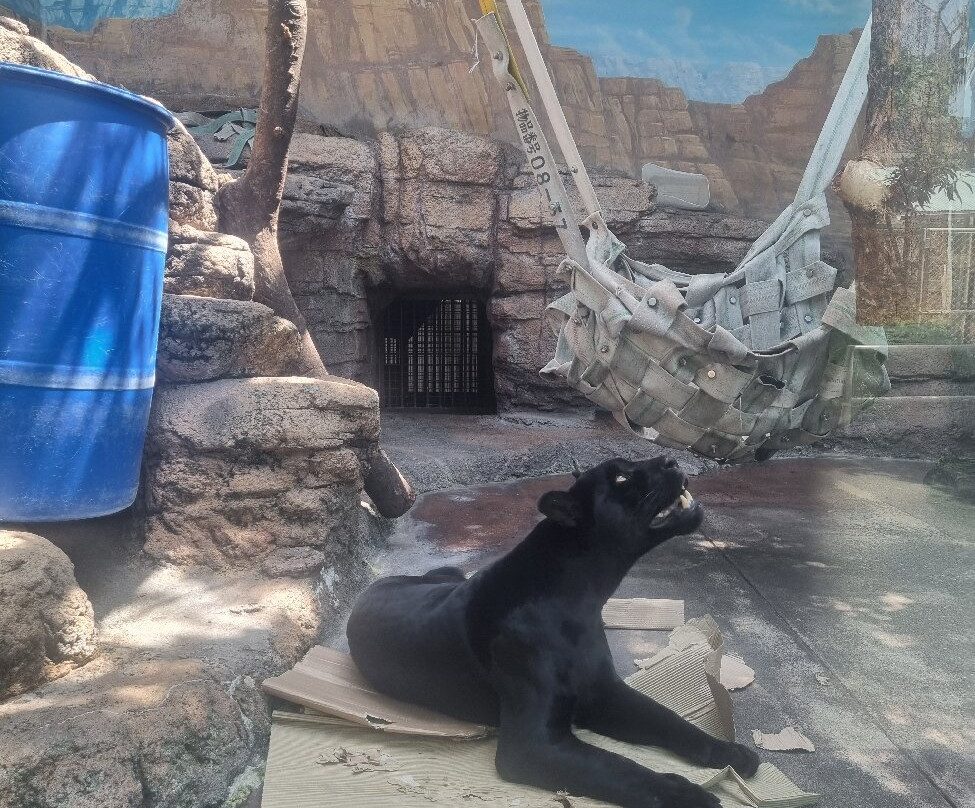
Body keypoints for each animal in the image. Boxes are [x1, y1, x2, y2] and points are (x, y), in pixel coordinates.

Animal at [347, 455, 760, 808]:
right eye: (621, 477)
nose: (672, 460)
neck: (582, 598)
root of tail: (370, 587)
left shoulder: (603, 692)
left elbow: (667, 719)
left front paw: (730, 753)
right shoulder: (534, 744)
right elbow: (619, 769)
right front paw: (688, 794)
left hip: (450, 573)